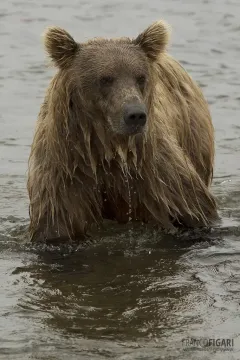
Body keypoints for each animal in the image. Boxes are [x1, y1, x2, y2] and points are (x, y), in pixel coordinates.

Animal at [27, 20, 218, 245]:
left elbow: (190, 209)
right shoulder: (65, 173)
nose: (135, 115)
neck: (107, 147)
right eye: (105, 78)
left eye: (140, 77)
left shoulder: (154, 173)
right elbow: (56, 227)